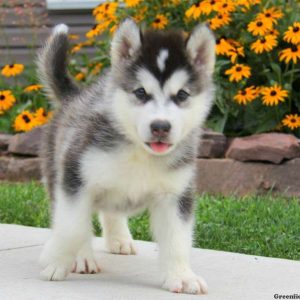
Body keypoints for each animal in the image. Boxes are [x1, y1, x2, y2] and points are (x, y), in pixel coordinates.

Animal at [37, 19, 216, 296]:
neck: (139, 153)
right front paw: (55, 262)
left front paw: (181, 276)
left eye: (182, 95)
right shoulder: (75, 177)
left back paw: (119, 239)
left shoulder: (176, 194)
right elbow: (72, 227)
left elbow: (177, 239)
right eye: (141, 92)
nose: (160, 126)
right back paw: (83, 257)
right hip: (58, 170)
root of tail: (74, 98)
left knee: (111, 210)